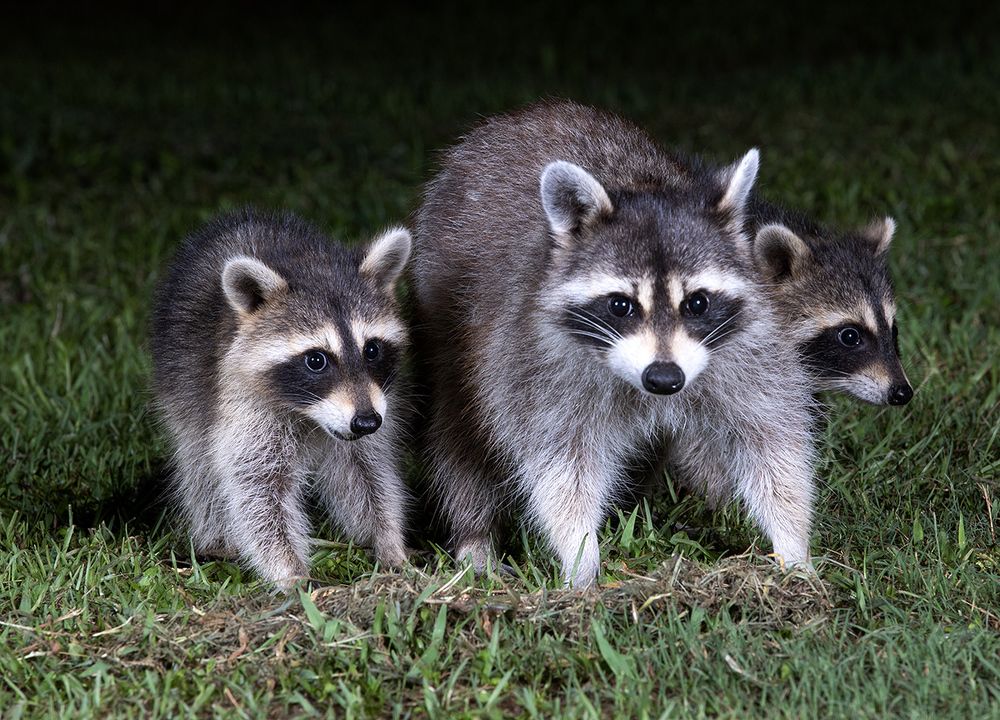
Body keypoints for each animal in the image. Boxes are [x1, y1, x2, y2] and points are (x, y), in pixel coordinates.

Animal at [151, 210, 413, 589]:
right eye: (316, 360)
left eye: (372, 350)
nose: (366, 422)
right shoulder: (241, 399)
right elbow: (257, 486)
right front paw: (290, 571)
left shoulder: (370, 407)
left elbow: (367, 471)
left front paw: (387, 539)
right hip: (182, 378)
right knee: (199, 458)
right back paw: (216, 537)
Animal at [412, 101, 818, 587]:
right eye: (621, 305)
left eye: (697, 303)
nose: (664, 378)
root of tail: (525, 114)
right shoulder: (534, 361)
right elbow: (562, 468)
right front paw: (581, 561)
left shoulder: (747, 349)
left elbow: (773, 441)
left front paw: (794, 550)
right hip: (445, 318)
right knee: (460, 433)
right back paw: (474, 536)